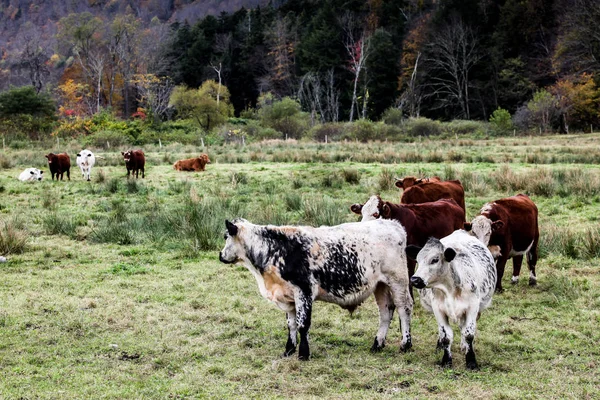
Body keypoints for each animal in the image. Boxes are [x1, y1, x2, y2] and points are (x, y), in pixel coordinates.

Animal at [219, 217, 412, 360]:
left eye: (225, 236)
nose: (220, 255)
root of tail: (393, 224)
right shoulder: (288, 296)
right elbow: (291, 325)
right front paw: (288, 350)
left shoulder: (304, 291)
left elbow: (303, 324)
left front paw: (303, 354)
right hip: (380, 285)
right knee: (386, 312)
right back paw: (377, 344)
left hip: (398, 280)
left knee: (404, 308)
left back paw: (406, 344)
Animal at [408, 230, 496, 370]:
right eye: (417, 260)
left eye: (435, 260)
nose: (415, 279)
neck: (449, 289)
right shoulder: (438, 309)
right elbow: (446, 336)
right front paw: (446, 360)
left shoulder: (472, 308)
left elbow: (468, 334)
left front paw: (471, 361)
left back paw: (464, 346)